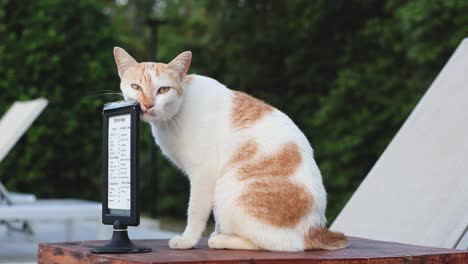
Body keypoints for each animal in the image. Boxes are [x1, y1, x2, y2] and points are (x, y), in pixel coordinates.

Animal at [113, 47, 348, 252]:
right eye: (136, 87)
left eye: (163, 90)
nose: (148, 105)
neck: (176, 113)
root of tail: (317, 229)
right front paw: (215, 232)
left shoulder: (203, 174)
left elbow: (195, 211)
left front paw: (188, 240)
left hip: (230, 188)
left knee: (279, 244)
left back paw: (222, 240)